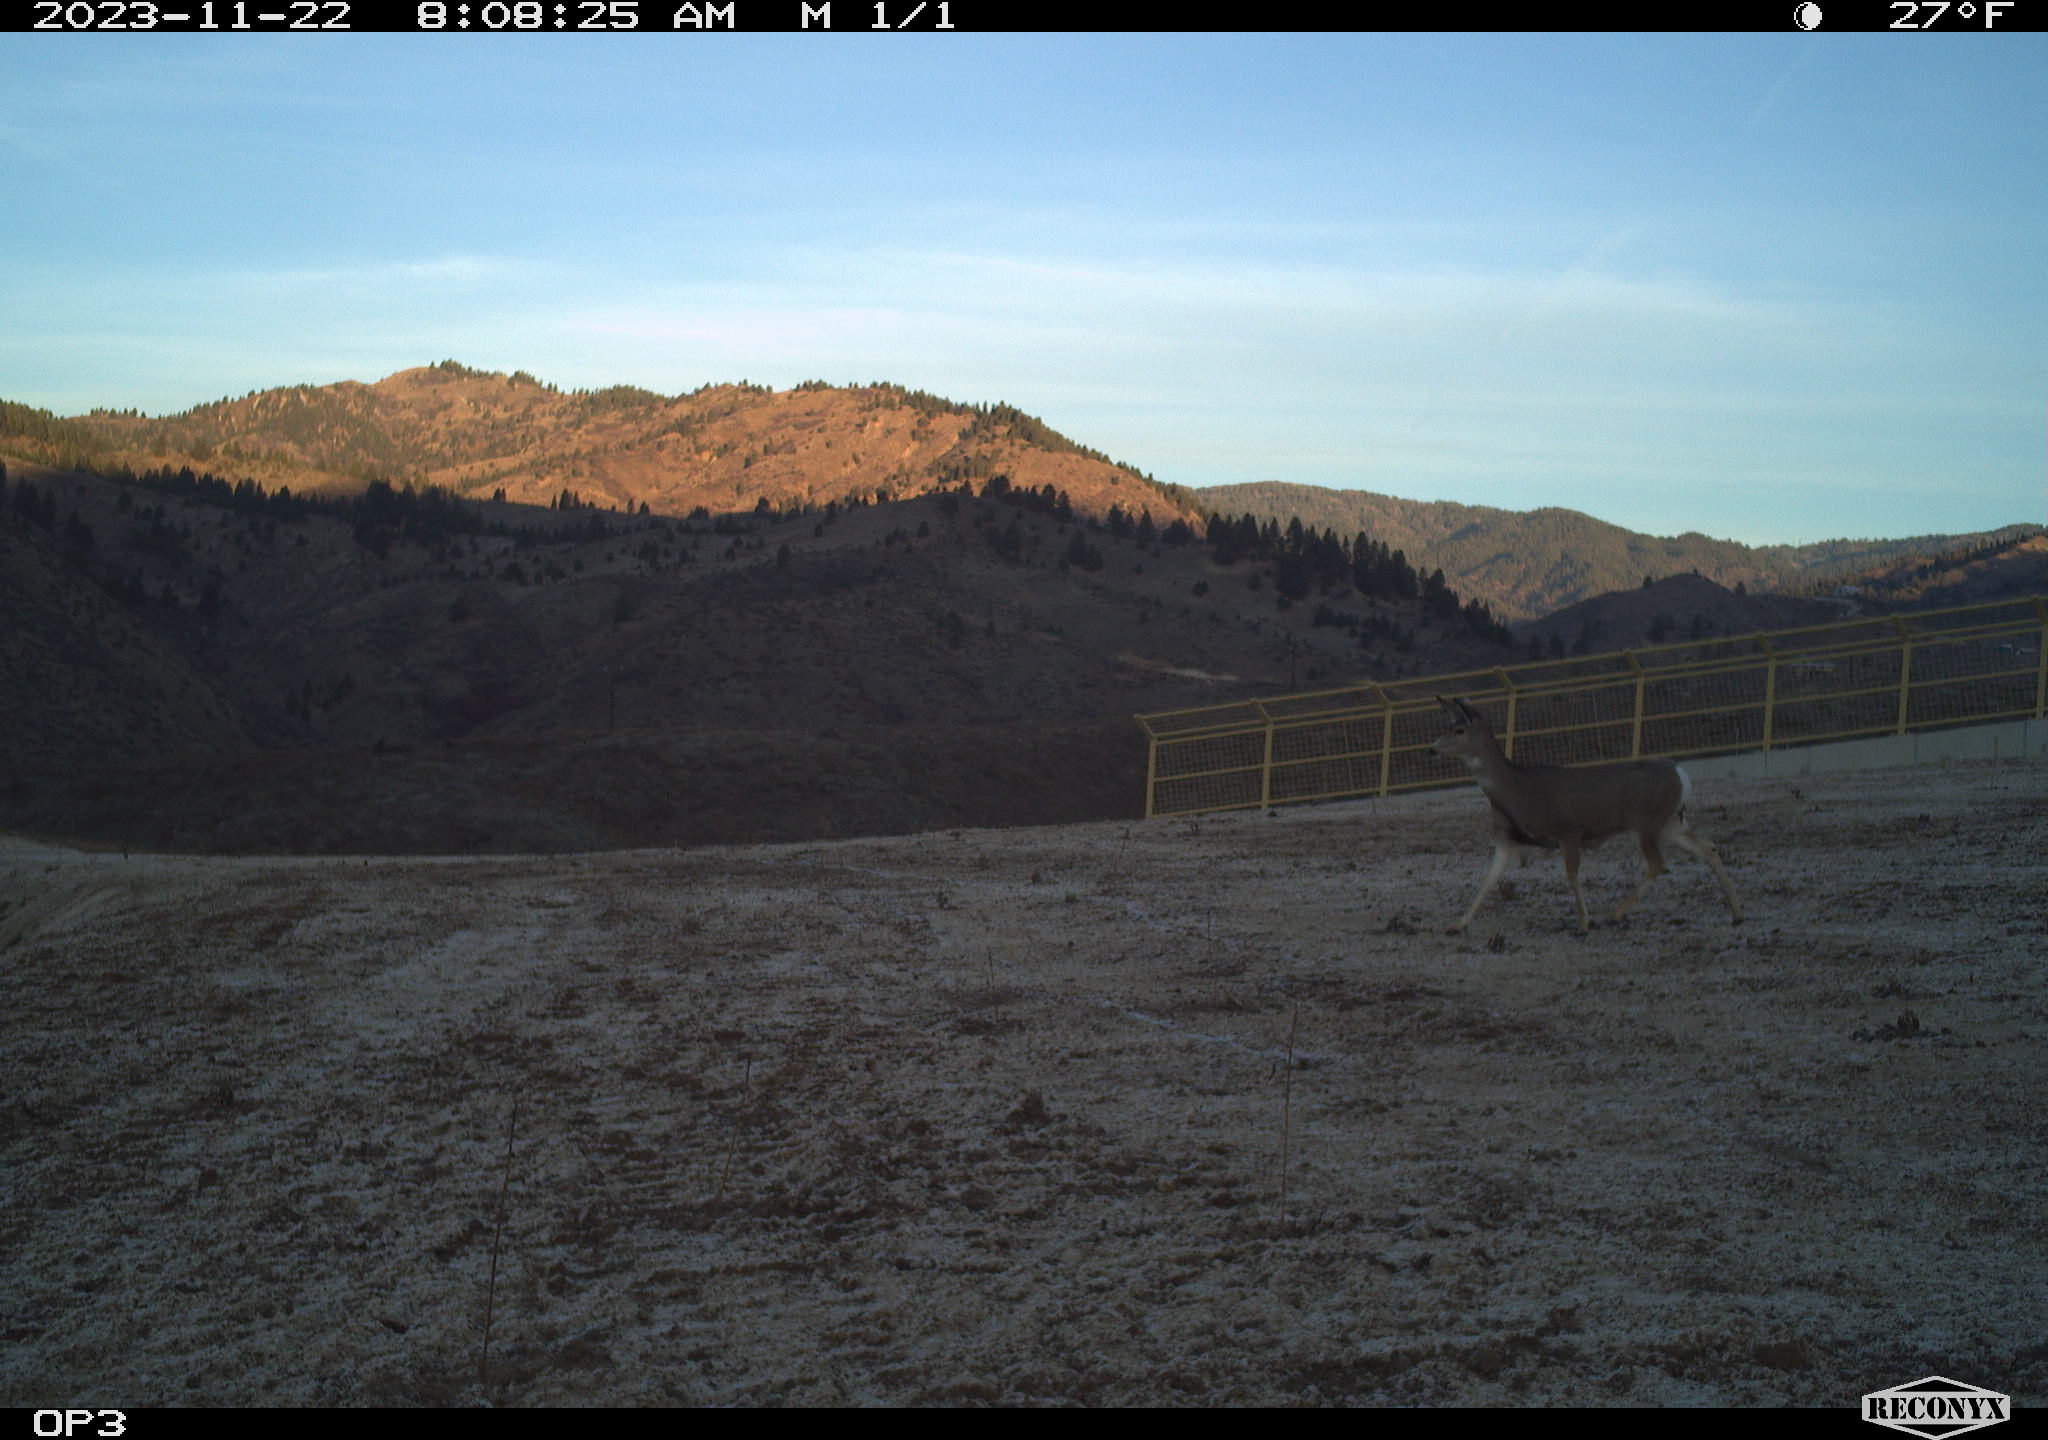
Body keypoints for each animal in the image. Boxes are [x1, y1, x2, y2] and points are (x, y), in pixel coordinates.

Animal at [1425, 696, 1744, 934]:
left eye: (1459, 730)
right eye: (1448, 726)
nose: (1431, 749)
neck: (1516, 792)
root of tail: (1681, 774)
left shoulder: (1569, 830)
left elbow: (1572, 875)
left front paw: (1583, 923)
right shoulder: (1506, 838)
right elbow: (1488, 880)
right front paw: (1458, 924)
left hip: (1647, 822)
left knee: (1658, 863)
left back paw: (1616, 913)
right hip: (1670, 822)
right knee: (1708, 847)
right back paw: (1737, 913)